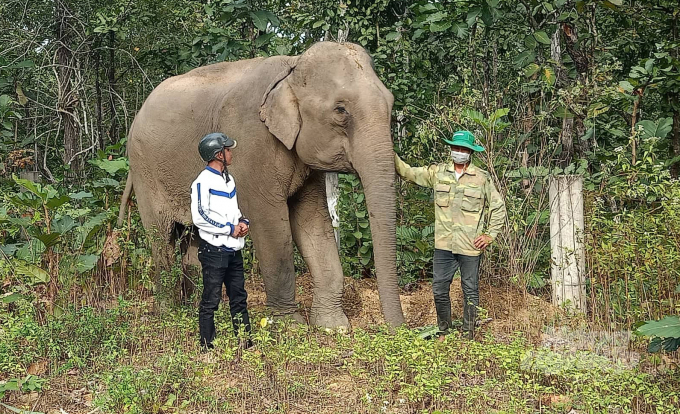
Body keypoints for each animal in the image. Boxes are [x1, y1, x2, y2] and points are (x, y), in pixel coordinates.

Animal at [117, 40, 404, 328]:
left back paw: (196, 309)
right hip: (147, 173)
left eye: (391, 103)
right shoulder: (252, 146)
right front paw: (290, 325)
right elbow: (271, 225)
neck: (292, 67)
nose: (396, 329)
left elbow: (313, 222)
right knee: (161, 238)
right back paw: (170, 313)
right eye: (341, 110)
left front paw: (333, 327)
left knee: (195, 240)